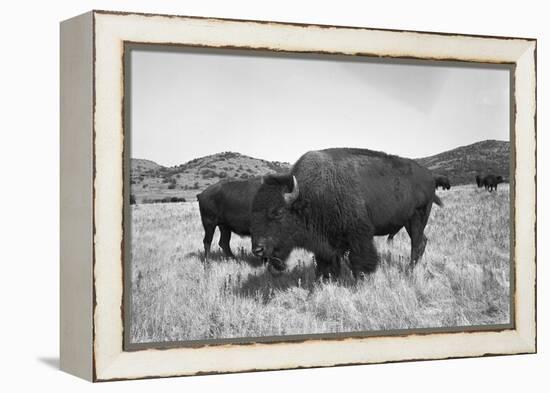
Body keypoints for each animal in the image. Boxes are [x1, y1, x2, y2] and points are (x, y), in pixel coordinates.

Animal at [250, 147, 444, 278]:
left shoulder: (359, 236)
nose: (258, 249)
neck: (308, 196)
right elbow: (327, 263)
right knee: (422, 241)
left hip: (418, 218)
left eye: (278, 212)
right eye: (254, 213)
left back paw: (409, 271)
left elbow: (359, 260)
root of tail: (430, 176)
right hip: (409, 222)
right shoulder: (326, 244)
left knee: (416, 244)